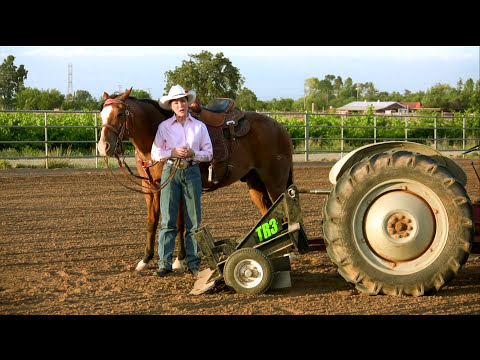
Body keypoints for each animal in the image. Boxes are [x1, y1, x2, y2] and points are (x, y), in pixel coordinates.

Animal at [96, 88, 292, 272]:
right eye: (101, 115)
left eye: (120, 114)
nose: (103, 146)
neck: (154, 138)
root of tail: (280, 127)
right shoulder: (151, 188)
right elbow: (152, 222)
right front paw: (145, 260)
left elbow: (180, 223)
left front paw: (179, 261)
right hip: (255, 183)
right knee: (267, 210)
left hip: (275, 182)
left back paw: (288, 251)